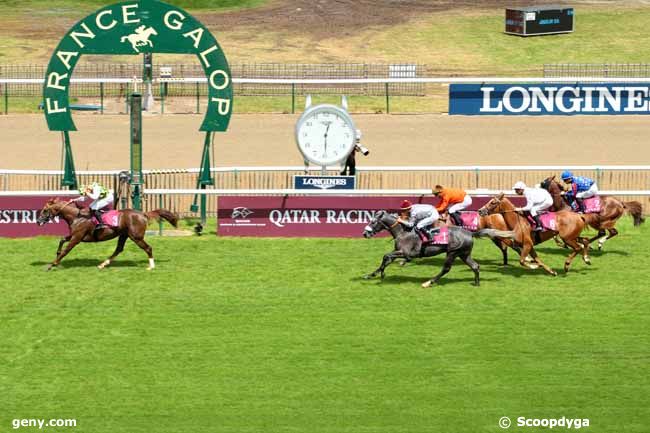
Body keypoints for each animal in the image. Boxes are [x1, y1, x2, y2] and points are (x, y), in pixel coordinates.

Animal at [35, 197, 177, 270]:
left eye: (45, 210)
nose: (38, 221)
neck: (77, 216)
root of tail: (143, 213)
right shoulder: (74, 235)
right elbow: (62, 240)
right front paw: (56, 255)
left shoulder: (77, 238)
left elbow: (66, 250)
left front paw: (52, 264)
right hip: (124, 235)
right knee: (119, 249)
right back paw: (103, 264)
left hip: (136, 236)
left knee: (148, 248)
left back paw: (151, 266)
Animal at [360, 209, 512, 286]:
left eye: (373, 222)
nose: (365, 233)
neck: (403, 232)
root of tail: (470, 232)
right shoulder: (398, 251)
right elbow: (386, 259)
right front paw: (371, 274)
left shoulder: (406, 253)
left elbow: (386, 256)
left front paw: (382, 275)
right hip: (464, 254)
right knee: (475, 266)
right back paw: (477, 283)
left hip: (452, 252)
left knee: (446, 268)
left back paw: (429, 282)